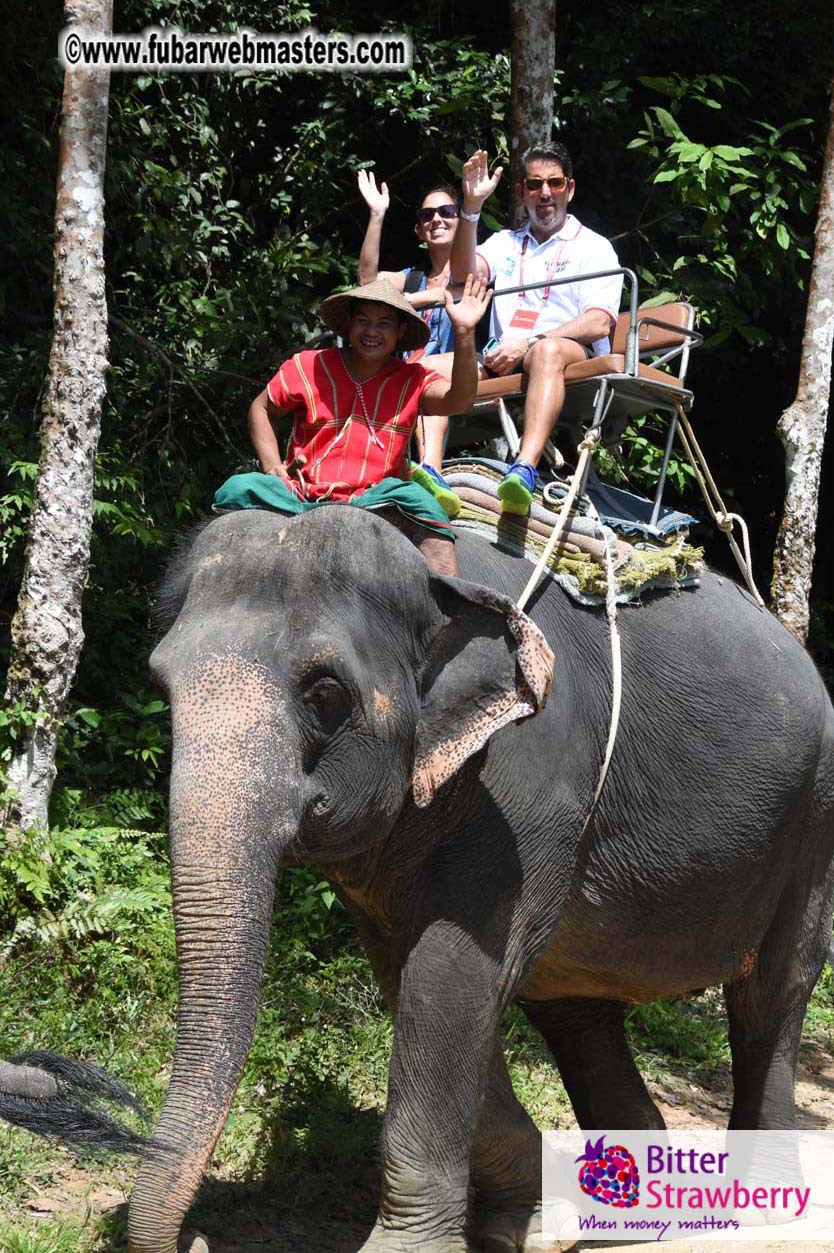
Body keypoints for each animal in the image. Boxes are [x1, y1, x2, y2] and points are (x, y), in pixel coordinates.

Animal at [127, 504, 834, 1253]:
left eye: (325, 693)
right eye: (162, 687)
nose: (197, 1238)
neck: (433, 575)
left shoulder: (528, 790)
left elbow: (450, 974)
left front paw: (409, 1249)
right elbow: (415, 977)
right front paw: (530, 1223)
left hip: (813, 819)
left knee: (772, 995)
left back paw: (760, 1208)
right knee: (576, 1009)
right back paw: (636, 1210)